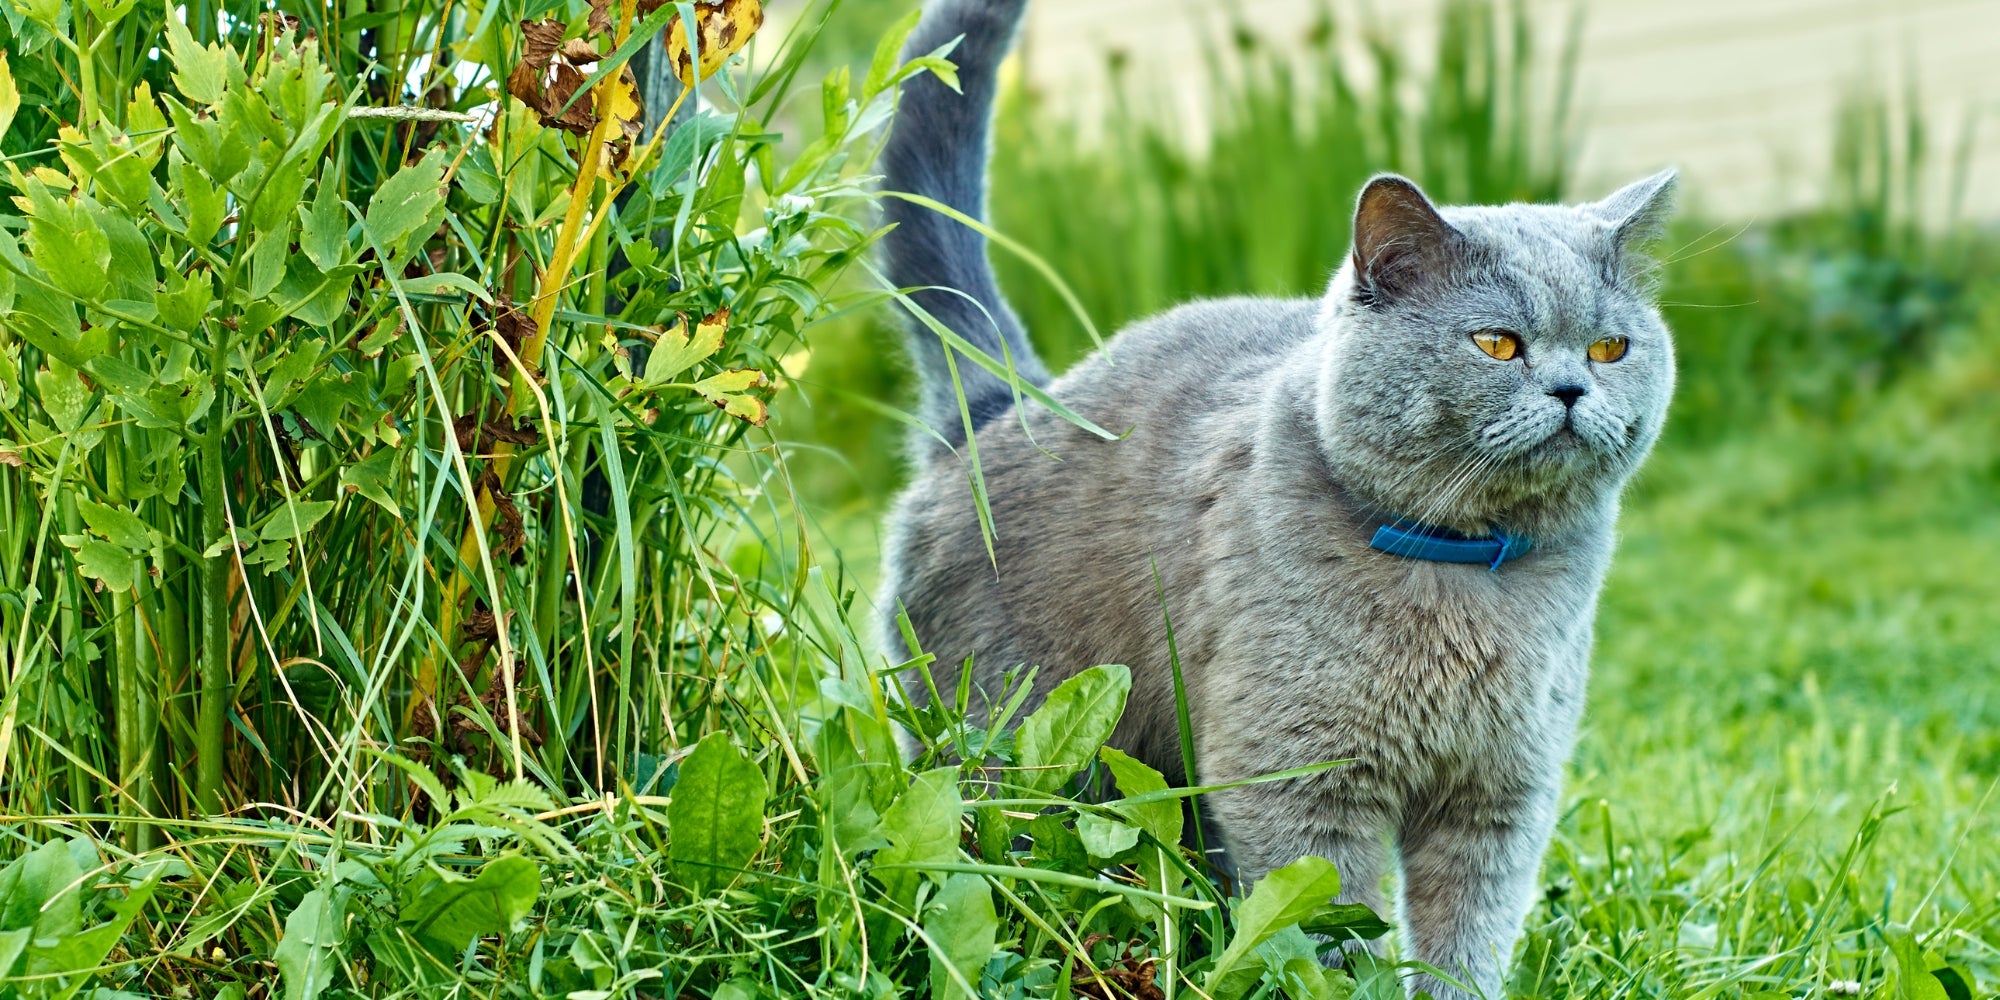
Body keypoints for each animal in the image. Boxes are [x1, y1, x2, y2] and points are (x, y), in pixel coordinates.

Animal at [876, 0, 1672, 992]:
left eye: (1611, 348)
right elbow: (1333, 927)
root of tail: (1003, 404)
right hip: (1009, 745)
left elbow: (1466, 940)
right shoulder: (1296, 777)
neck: (1462, 573)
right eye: (1495, 343)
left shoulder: (1499, 797)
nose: (1573, 389)